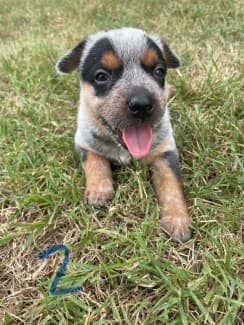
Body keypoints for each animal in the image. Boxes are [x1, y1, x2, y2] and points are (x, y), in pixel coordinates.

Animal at [56, 27, 192, 240]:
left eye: (159, 71)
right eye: (101, 76)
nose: (142, 104)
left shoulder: (165, 150)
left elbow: (172, 184)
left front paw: (178, 219)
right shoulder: (83, 140)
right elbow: (95, 162)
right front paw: (99, 191)